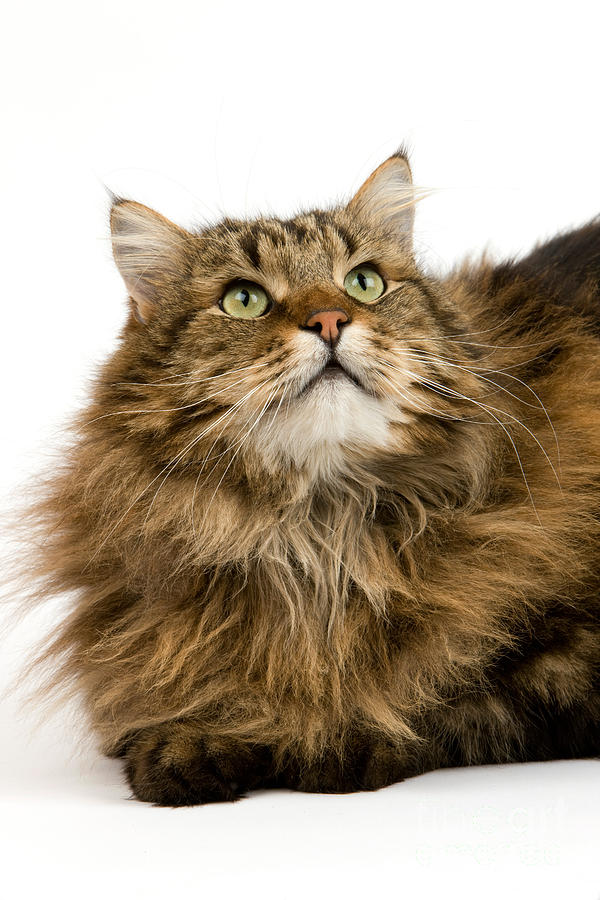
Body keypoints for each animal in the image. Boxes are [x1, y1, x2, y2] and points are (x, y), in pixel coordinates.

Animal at [27, 151, 600, 804]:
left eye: (364, 283)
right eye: (244, 300)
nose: (330, 319)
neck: (321, 536)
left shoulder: (563, 666)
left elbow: (442, 700)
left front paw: (318, 740)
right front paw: (194, 741)